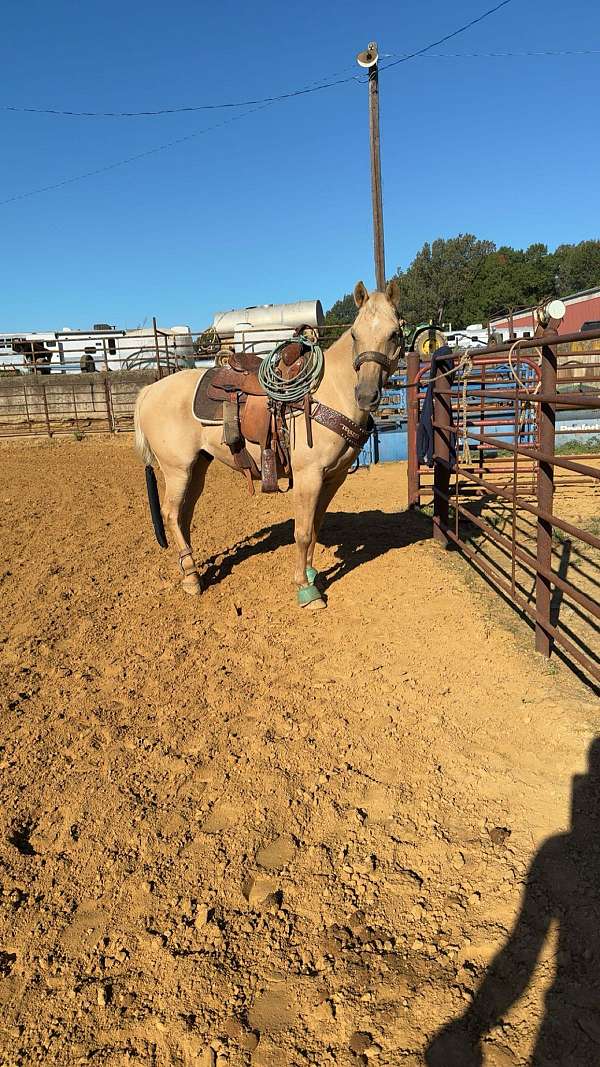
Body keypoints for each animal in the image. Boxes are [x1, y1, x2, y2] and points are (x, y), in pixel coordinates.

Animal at [133, 280, 404, 609]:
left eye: (394, 333)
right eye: (354, 333)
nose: (365, 394)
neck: (330, 393)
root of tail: (149, 391)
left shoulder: (333, 477)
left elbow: (316, 526)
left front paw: (312, 574)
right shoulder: (308, 476)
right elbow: (302, 532)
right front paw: (306, 590)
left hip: (197, 467)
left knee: (183, 515)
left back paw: (190, 570)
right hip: (177, 469)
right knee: (171, 514)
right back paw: (192, 579)